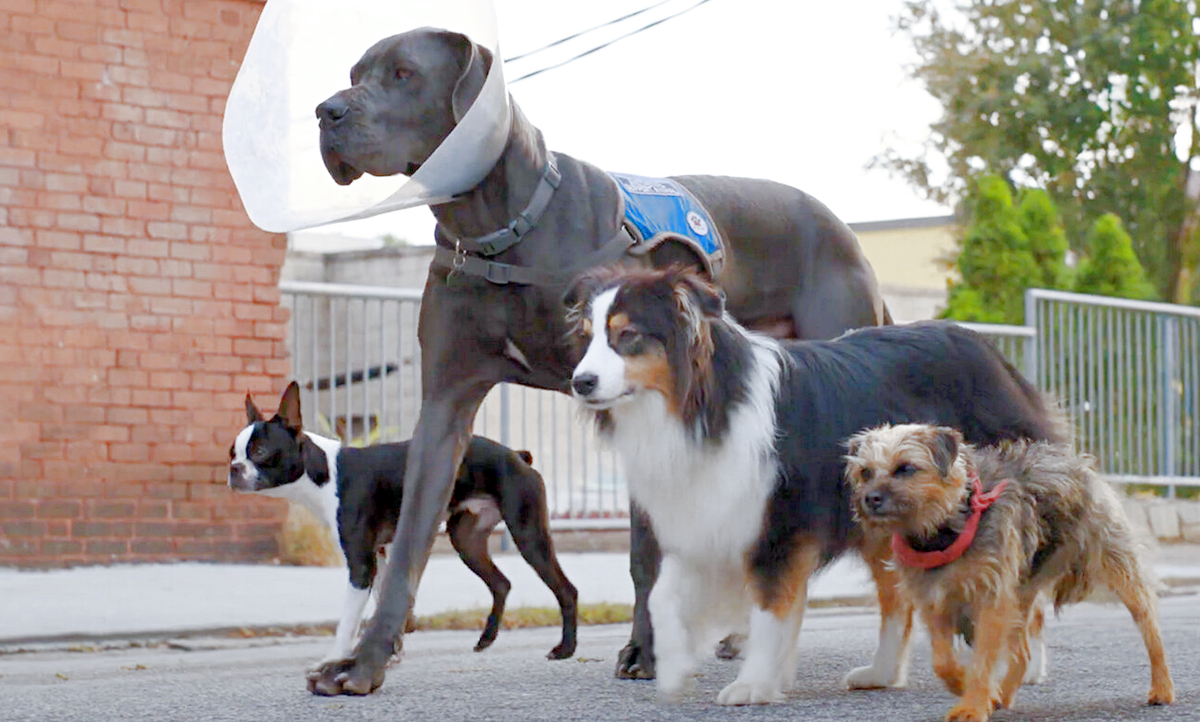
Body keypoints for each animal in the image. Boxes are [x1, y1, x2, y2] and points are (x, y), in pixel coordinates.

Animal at [230, 381, 580, 666]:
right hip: (466, 538)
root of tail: (517, 455)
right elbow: (383, 598)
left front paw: (336, 658)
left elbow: (348, 619)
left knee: (566, 589)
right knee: (501, 583)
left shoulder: (360, 564)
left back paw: (565, 649)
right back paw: (487, 638)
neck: (325, 472)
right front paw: (391, 648)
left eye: (259, 451)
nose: (233, 469)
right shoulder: (379, 554)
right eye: (232, 452)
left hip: (527, 532)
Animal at [564, 265, 1060, 700]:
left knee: (1020, 592)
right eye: (587, 336)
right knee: (897, 600)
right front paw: (675, 667)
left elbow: (769, 608)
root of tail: (991, 354)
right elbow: (664, 595)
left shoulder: (779, 523)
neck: (705, 403)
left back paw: (1021, 665)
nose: (579, 382)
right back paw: (881, 674)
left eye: (628, 334)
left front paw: (753, 684)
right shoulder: (704, 512)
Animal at [844, 422, 1171, 719]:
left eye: (905, 468)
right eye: (865, 472)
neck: (943, 529)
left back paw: (1162, 688)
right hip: (1019, 596)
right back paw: (1002, 695)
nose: (869, 498)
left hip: (1119, 570)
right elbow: (943, 661)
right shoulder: (935, 603)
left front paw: (972, 705)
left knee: (1151, 629)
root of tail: (1080, 463)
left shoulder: (990, 601)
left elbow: (983, 660)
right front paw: (963, 685)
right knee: (1023, 653)